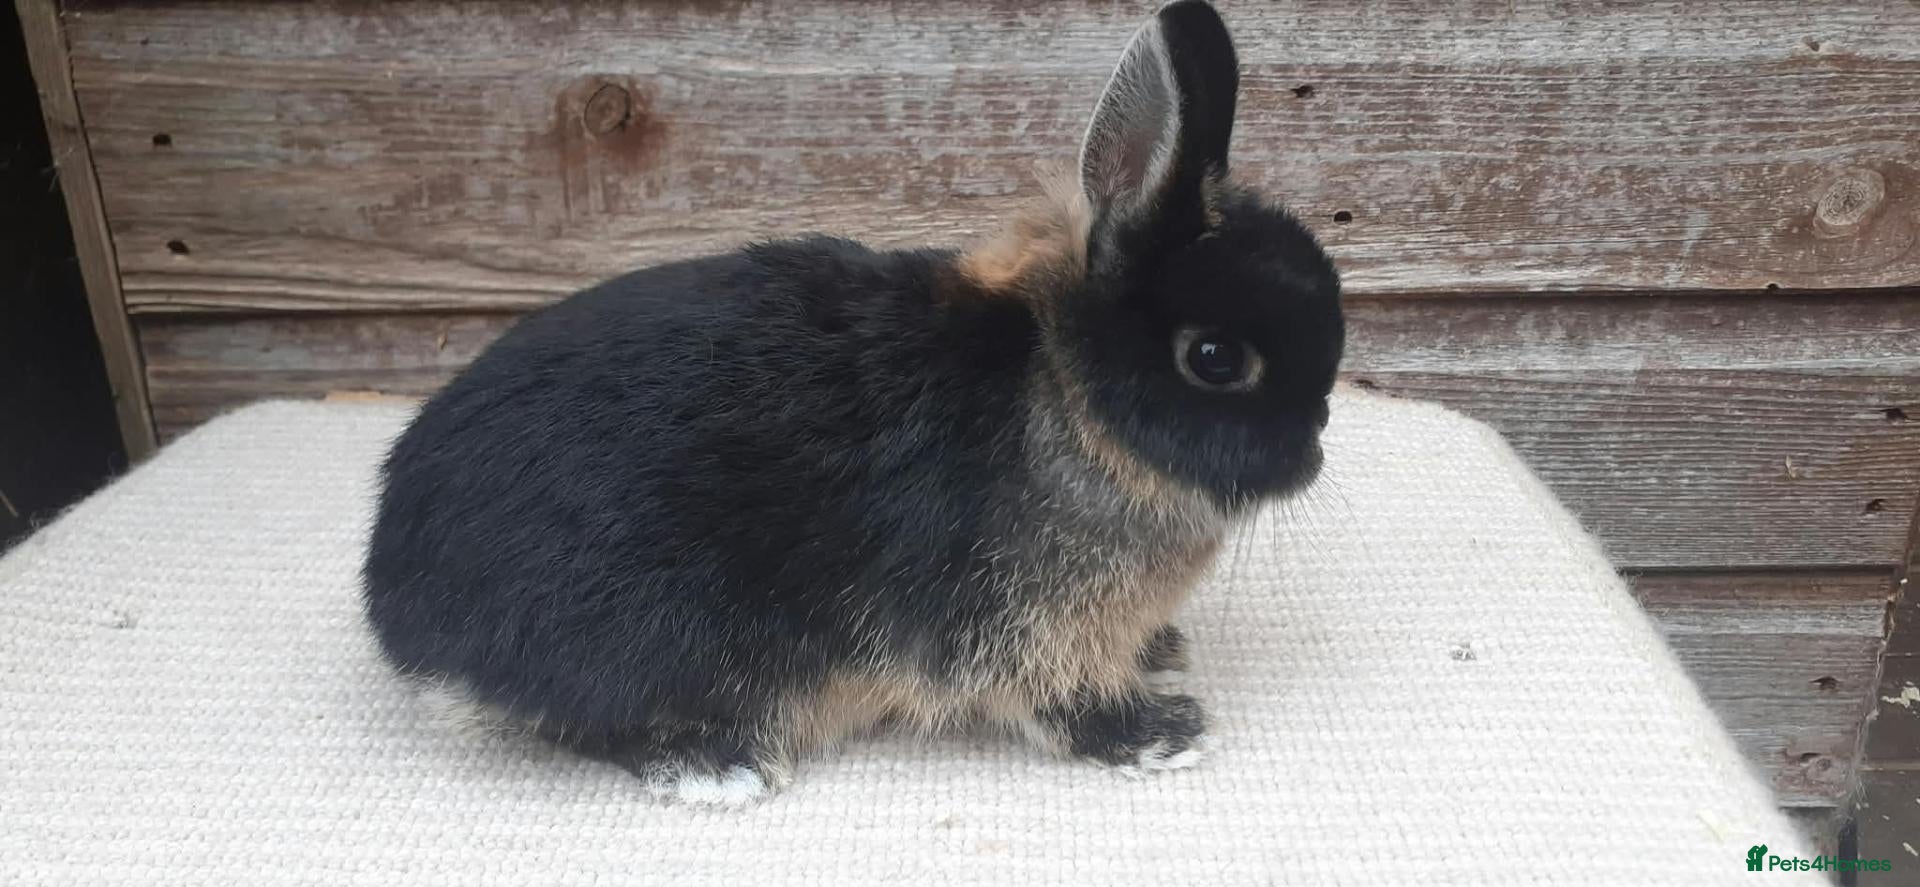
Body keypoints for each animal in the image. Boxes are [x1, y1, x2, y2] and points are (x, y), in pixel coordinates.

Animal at [362, 0, 1342, 807]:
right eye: (1215, 359)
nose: (1313, 449)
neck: (1062, 397)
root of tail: (400, 607)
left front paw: (1163, 653)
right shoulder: (1016, 628)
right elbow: (1053, 699)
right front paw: (1159, 735)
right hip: (663, 635)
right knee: (597, 724)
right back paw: (717, 766)